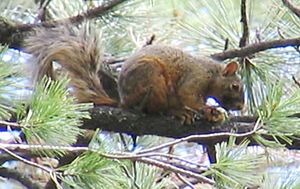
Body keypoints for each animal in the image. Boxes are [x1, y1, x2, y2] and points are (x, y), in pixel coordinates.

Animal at [26, 25, 244, 125]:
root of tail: (123, 101)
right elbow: (189, 95)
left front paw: (215, 114)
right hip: (152, 78)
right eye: (235, 86)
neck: (212, 74)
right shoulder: (195, 77)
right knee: (155, 109)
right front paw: (208, 110)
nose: (241, 107)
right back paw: (175, 112)